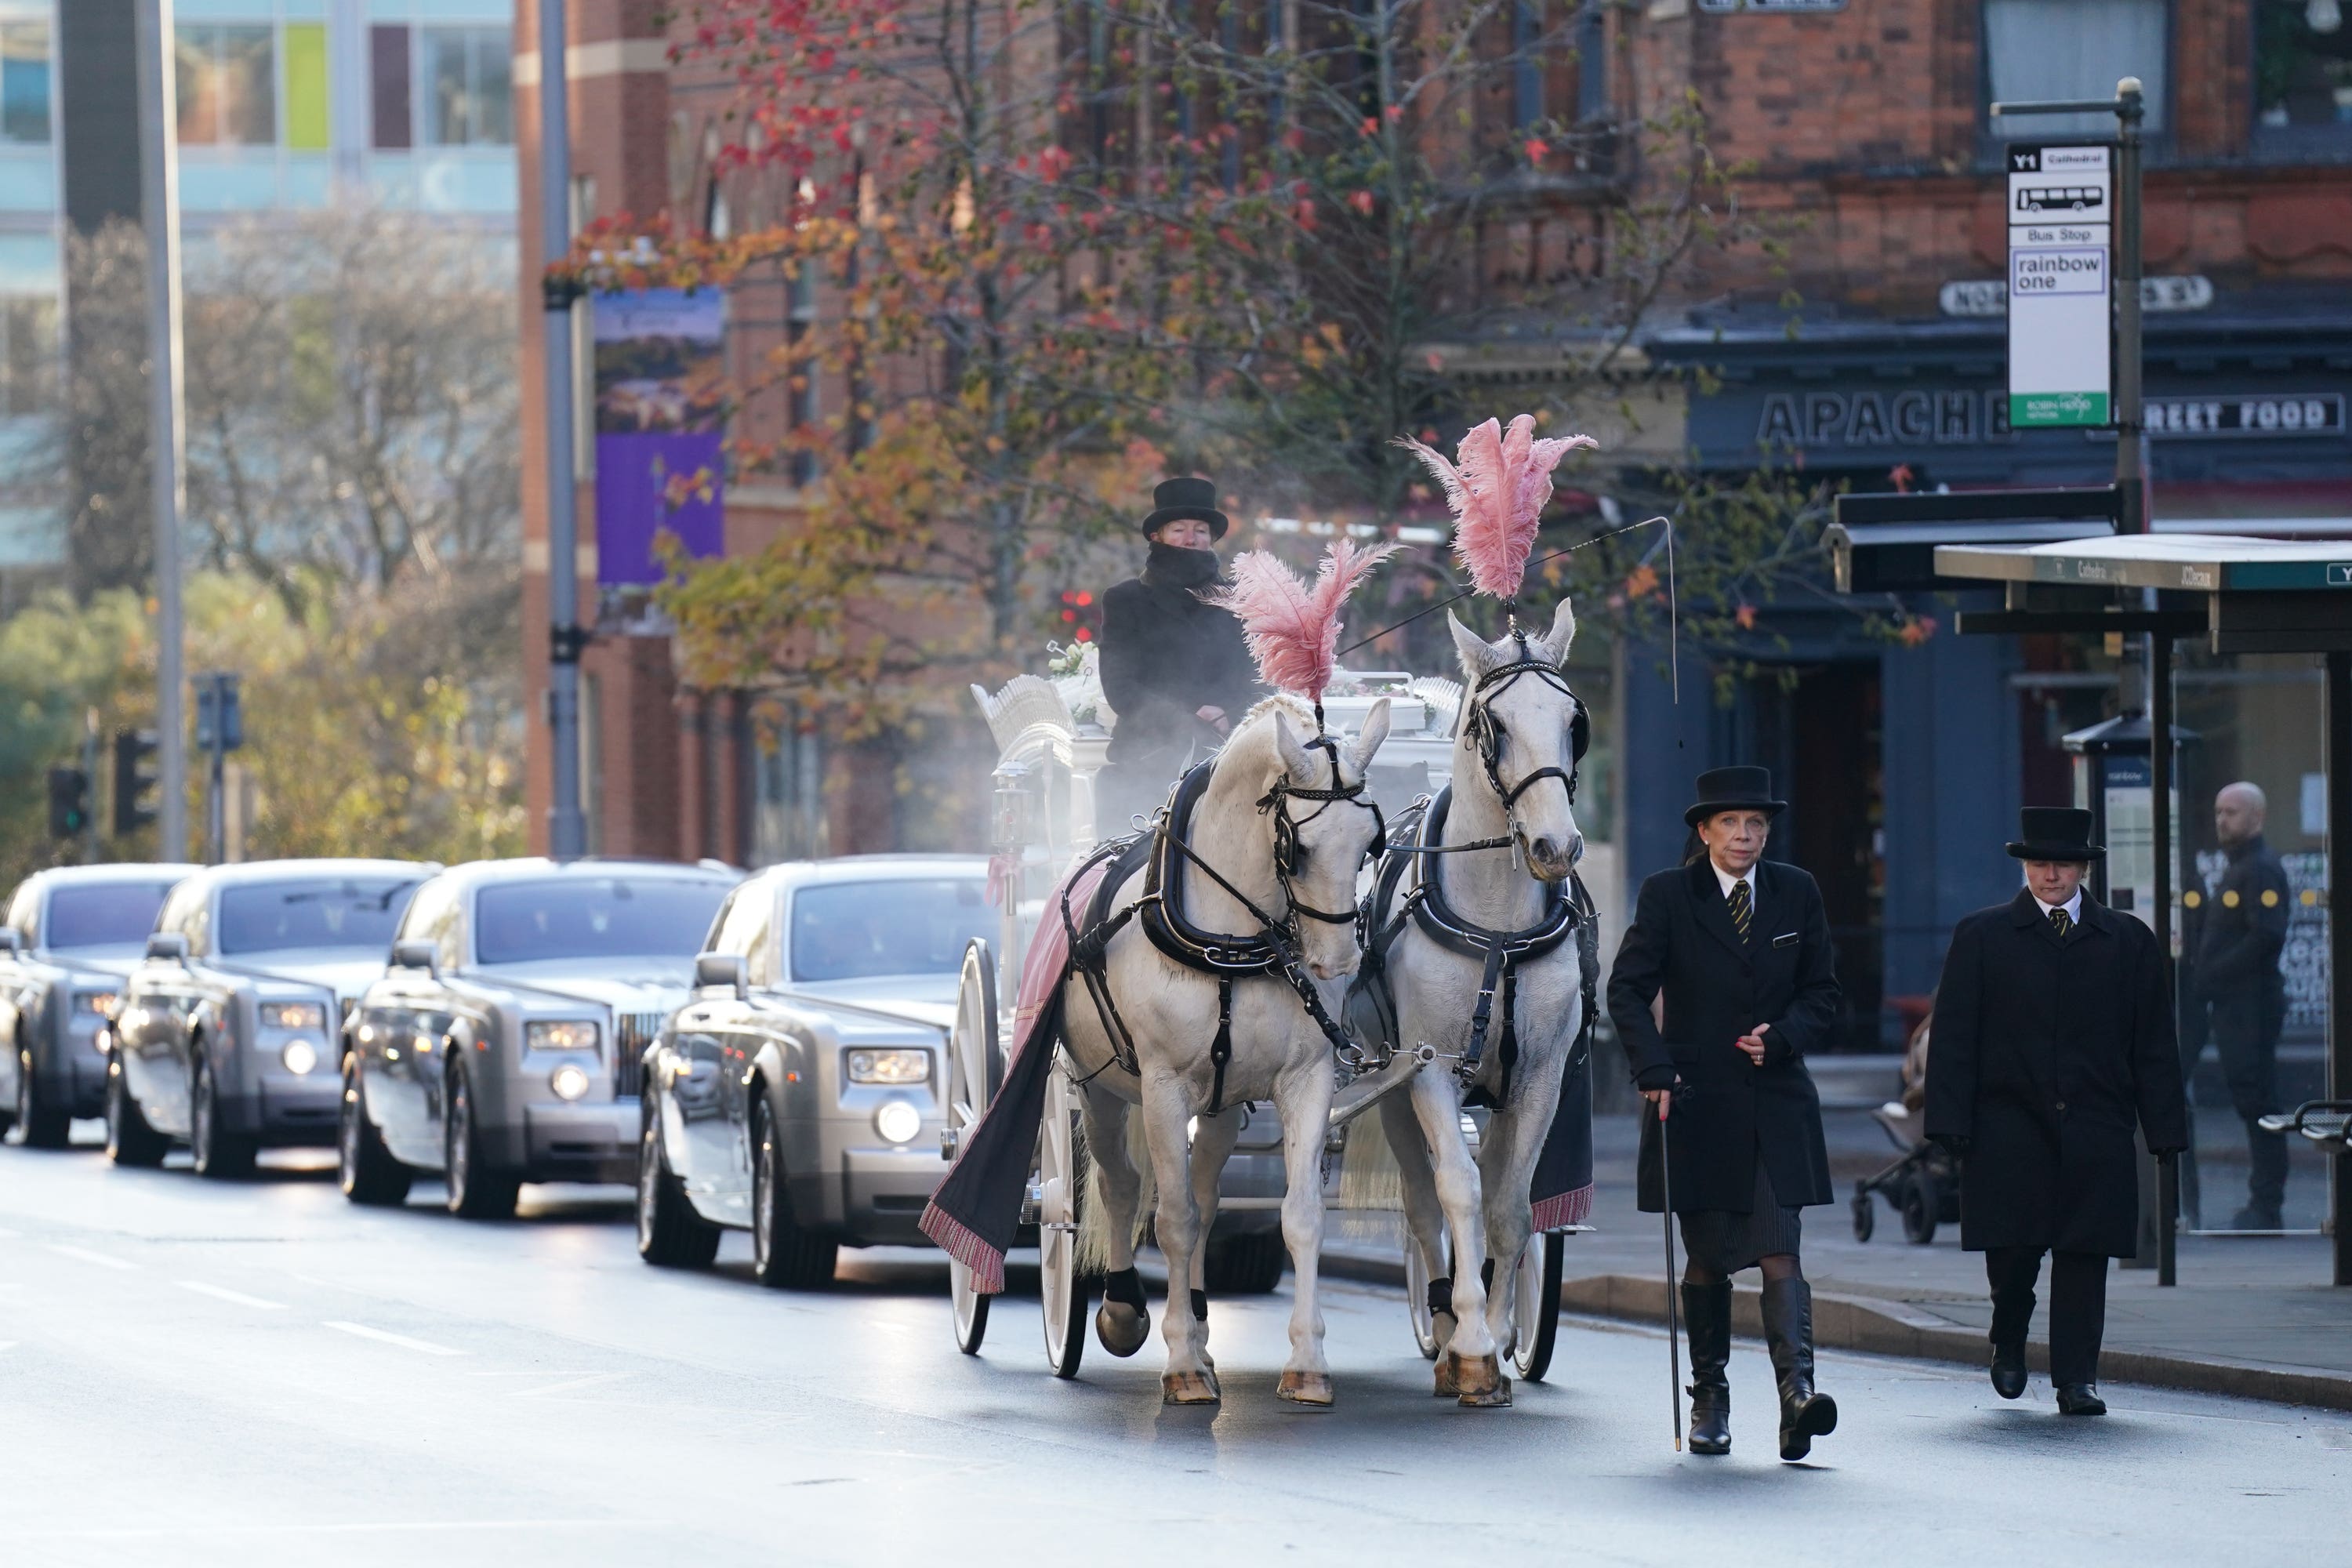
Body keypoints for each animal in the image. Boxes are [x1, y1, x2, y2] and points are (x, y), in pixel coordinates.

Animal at [1058, 700, 1383, 1410]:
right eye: (1298, 847)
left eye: (1370, 843)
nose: (1338, 963)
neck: (1232, 944)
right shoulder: (1162, 1088)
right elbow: (1172, 1219)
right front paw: (1180, 1363)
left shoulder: (1306, 1080)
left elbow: (1299, 1216)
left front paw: (1307, 1362)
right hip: (1100, 1090)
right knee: (1120, 1187)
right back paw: (1124, 1311)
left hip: (1221, 1107)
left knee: (1208, 1201)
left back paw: (1205, 1333)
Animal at [1374, 606, 1581, 1410]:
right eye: (1495, 724)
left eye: (1573, 721)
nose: (1557, 846)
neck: (1495, 924)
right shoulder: (1429, 1070)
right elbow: (1458, 1192)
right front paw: (1467, 1344)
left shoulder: (1542, 1076)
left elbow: (1511, 1206)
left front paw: (1497, 1334)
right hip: (1392, 1092)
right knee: (1423, 1198)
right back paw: (1440, 1317)